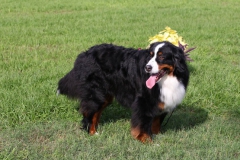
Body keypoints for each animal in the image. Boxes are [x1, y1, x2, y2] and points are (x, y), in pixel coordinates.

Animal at [57, 41, 188, 142]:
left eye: (161, 56)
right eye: (150, 56)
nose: (147, 67)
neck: (167, 79)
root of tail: (84, 54)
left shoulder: (163, 100)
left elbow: (157, 122)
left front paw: (157, 135)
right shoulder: (143, 102)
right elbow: (143, 123)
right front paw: (145, 140)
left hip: (104, 95)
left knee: (96, 112)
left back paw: (95, 130)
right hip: (95, 94)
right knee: (88, 113)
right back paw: (91, 132)